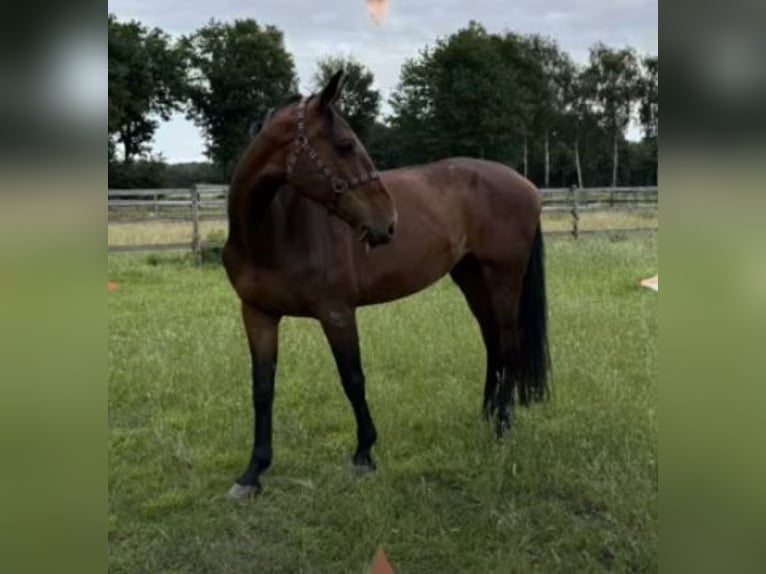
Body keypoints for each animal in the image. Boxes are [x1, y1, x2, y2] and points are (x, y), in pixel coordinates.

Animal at [222, 70, 551, 499]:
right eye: (345, 145)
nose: (387, 223)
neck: (272, 230)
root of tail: (527, 186)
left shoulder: (337, 313)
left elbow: (352, 379)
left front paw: (364, 454)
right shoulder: (257, 314)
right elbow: (262, 389)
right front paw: (253, 472)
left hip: (504, 278)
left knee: (509, 348)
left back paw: (502, 428)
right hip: (472, 277)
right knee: (493, 345)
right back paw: (487, 415)